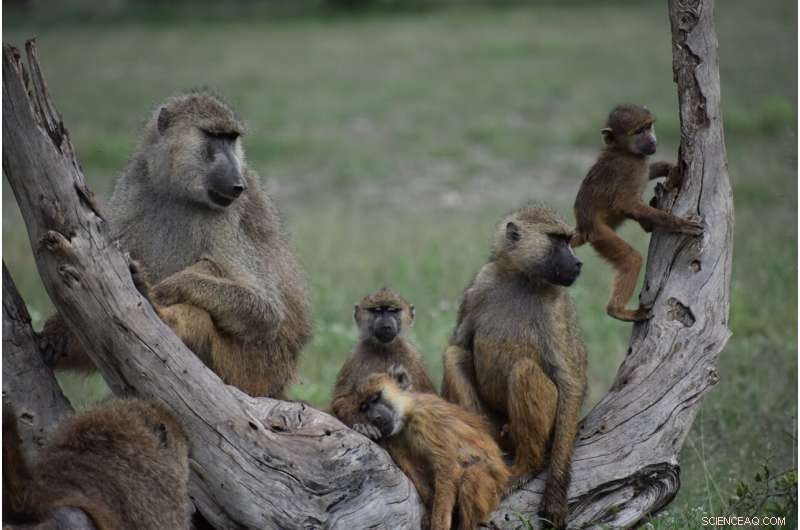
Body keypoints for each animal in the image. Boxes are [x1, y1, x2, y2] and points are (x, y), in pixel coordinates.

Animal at [39, 91, 312, 399]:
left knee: (208, 278)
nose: (237, 184)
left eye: (231, 139)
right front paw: (56, 327)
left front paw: (164, 290)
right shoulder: (135, 188)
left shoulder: (224, 218)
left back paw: (158, 309)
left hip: (257, 369)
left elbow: (267, 310)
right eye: (213, 136)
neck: (178, 192)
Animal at [331, 287, 436, 439]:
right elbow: (340, 400)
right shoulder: (354, 357)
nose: (386, 326)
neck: (384, 349)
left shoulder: (413, 357)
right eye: (376, 310)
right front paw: (363, 425)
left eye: (393, 310)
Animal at [349, 371, 509, 530]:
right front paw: (367, 430)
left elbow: (447, 466)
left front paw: (438, 524)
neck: (408, 413)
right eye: (364, 407)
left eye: (375, 398)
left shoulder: (424, 418)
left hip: (495, 488)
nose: (375, 418)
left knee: (472, 474)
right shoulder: (394, 436)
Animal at [441, 205, 586, 529]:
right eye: (557, 239)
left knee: (524, 370)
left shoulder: (558, 308)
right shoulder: (480, 285)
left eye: (569, 239)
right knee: (453, 356)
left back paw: (527, 466)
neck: (522, 278)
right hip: (497, 427)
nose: (578, 264)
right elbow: (459, 344)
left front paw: (555, 496)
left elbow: (570, 381)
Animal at [572, 103, 704, 322]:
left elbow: (648, 173)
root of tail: (582, 227)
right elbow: (626, 203)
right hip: (600, 235)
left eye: (648, 127)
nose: (651, 141)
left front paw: (672, 169)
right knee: (631, 259)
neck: (623, 151)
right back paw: (618, 311)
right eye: (638, 131)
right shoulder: (628, 169)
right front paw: (680, 224)